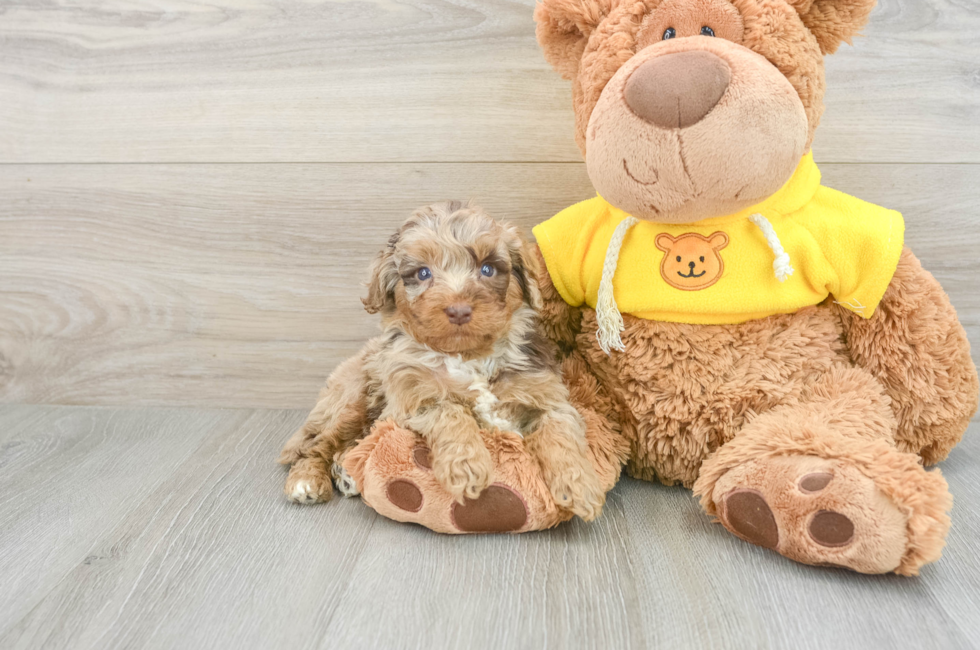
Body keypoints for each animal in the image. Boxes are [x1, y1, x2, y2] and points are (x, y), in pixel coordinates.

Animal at [278, 200, 604, 520]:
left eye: (487, 269)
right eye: (423, 273)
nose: (458, 310)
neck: (469, 357)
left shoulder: (546, 395)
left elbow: (560, 432)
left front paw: (580, 487)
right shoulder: (412, 400)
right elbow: (450, 410)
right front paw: (467, 466)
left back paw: (345, 472)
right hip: (353, 399)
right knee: (318, 444)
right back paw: (307, 480)